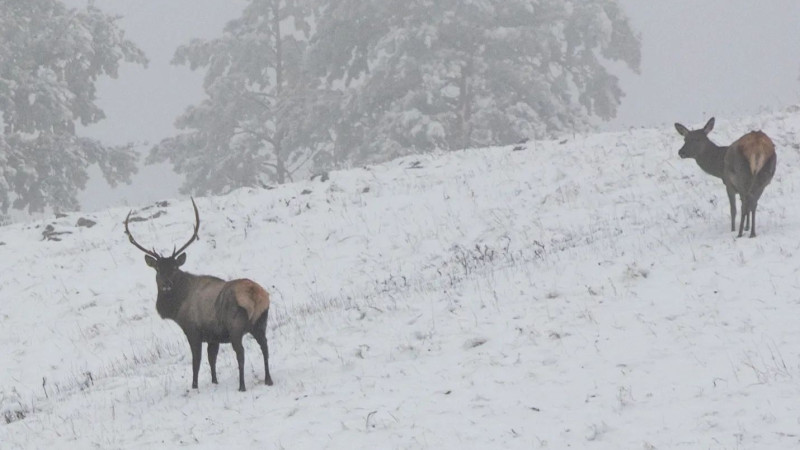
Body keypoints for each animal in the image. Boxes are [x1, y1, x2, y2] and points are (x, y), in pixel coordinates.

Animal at [124, 199, 276, 392]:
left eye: (174, 268)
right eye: (158, 269)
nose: (166, 284)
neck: (177, 308)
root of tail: (256, 294)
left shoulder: (193, 330)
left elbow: (196, 361)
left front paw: (194, 385)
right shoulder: (213, 336)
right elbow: (212, 359)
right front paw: (214, 381)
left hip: (236, 326)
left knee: (241, 353)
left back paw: (242, 386)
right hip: (261, 322)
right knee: (265, 347)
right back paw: (268, 379)